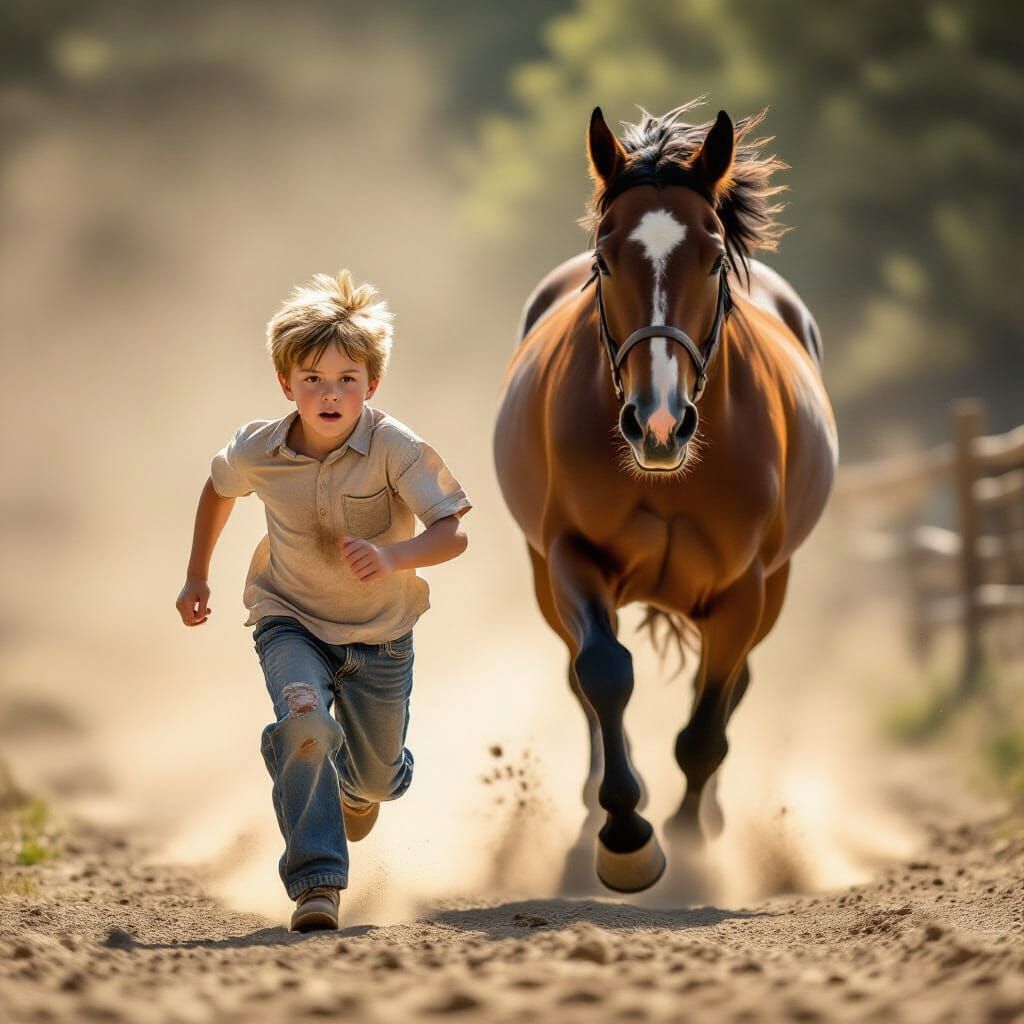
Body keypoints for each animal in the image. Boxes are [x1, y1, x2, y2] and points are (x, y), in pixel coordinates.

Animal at [493, 100, 838, 893]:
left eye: (711, 259)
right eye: (602, 261)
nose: (658, 422)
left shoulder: (746, 589)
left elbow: (706, 728)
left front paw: (689, 843)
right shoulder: (570, 557)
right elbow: (604, 674)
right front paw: (626, 835)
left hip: (774, 588)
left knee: (731, 687)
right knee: (583, 680)